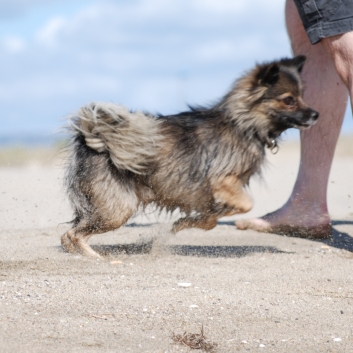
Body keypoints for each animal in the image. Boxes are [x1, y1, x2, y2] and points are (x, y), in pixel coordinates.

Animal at [62, 56, 318, 258]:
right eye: (289, 100)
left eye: (302, 95)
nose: (316, 114)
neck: (243, 124)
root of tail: (90, 137)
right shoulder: (222, 181)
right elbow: (246, 204)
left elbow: (213, 217)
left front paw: (189, 222)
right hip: (117, 209)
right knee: (72, 234)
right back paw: (95, 258)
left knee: (68, 235)